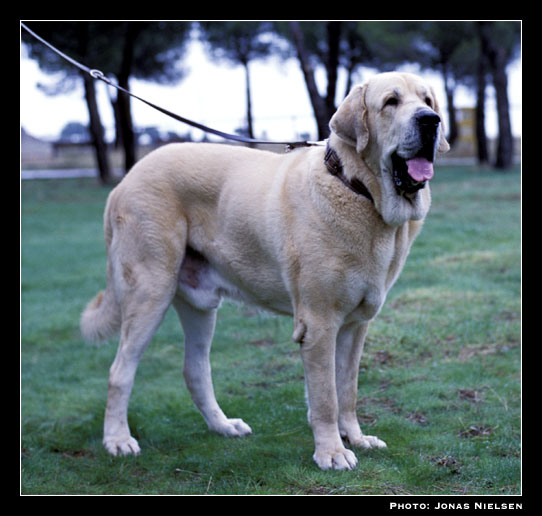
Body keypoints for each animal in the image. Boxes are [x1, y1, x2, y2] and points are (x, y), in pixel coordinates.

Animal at [82, 72, 450, 472]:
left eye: (427, 100)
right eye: (391, 103)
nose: (431, 120)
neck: (358, 190)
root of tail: (125, 181)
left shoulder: (355, 326)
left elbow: (347, 389)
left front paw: (355, 437)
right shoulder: (319, 324)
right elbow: (326, 396)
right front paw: (332, 452)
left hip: (199, 306)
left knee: (194, 369)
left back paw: (222, 426)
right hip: (150, 292)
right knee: (120, 371)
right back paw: (117, 440)